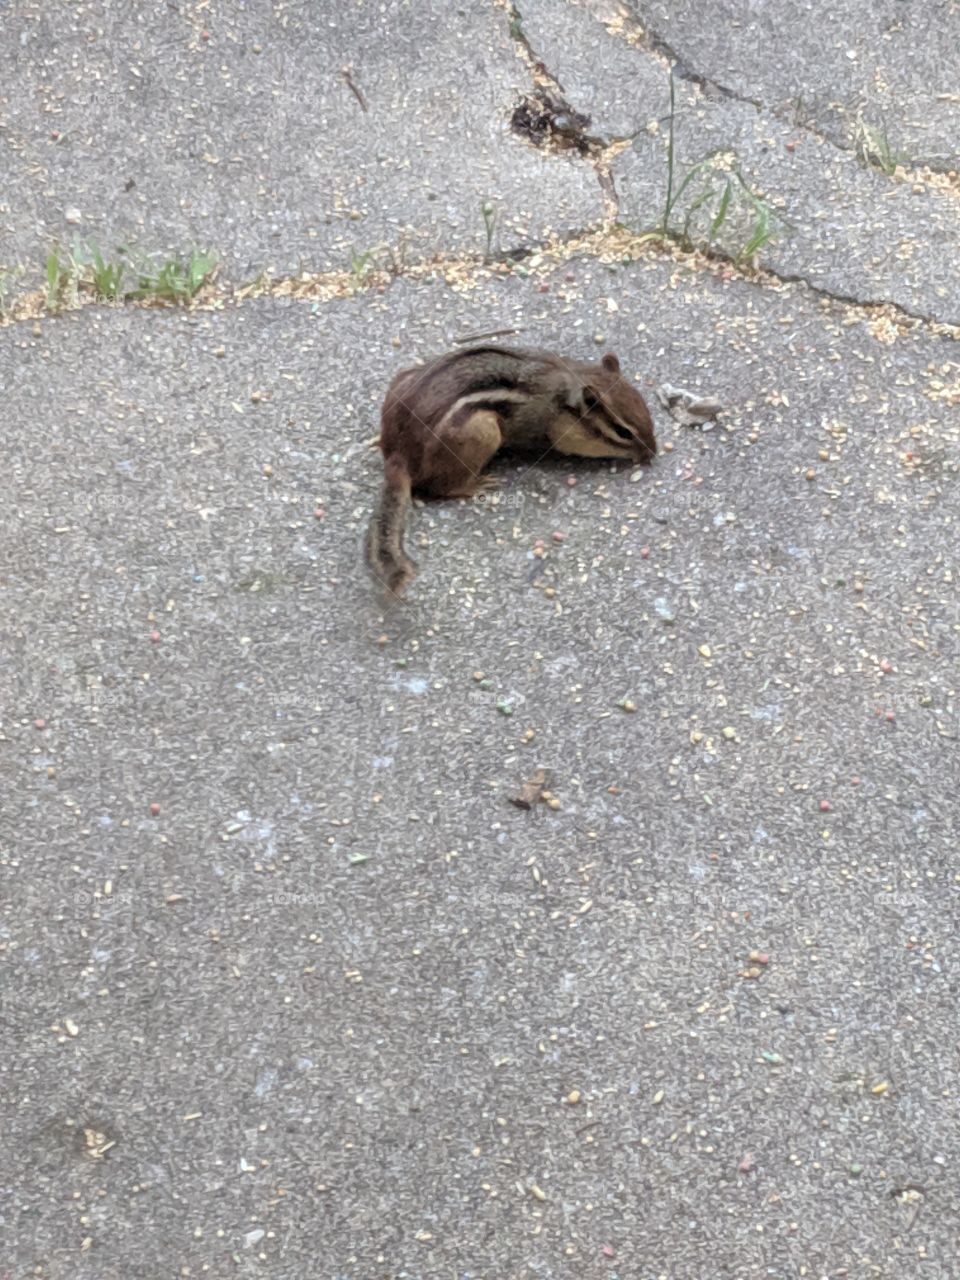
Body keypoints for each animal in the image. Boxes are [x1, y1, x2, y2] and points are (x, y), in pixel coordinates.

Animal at [366, 344, 656, 596]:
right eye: (624, 432)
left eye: (647, 411)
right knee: (440, 486)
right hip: (480, 431)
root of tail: (397, 453)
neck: (564, 392)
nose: (652, 453)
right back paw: (475, 485)